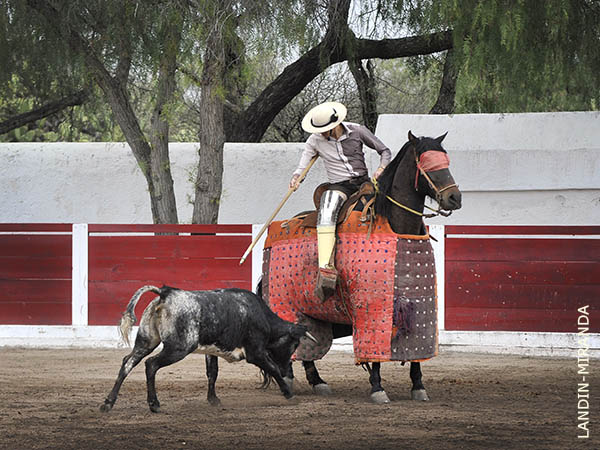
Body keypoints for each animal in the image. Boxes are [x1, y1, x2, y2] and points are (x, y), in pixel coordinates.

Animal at [99, 284, 314, 412]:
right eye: (295, 344)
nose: (288, 370)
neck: (262, 317)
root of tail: (166, 293)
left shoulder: (212, 352)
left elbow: (212, 373)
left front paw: (213, 400)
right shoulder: (256, 353)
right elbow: (273, 369)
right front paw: (289, 394)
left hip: (146, 341)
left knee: (128, 362)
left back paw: (108, 403)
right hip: (178, 348)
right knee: (151, 364)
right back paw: (154, 404)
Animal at [256, 131, 460, 404]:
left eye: (446, 161)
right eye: (426, 164)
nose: (454, 198)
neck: (396, 222)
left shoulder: (418, 306)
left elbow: (415, 348)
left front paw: (418, 386)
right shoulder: (371, 308)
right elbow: (372, 348)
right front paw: (377, 387)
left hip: (312, 313)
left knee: (308, 344)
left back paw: (317, 381)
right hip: (286, 304)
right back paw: (288, 379)